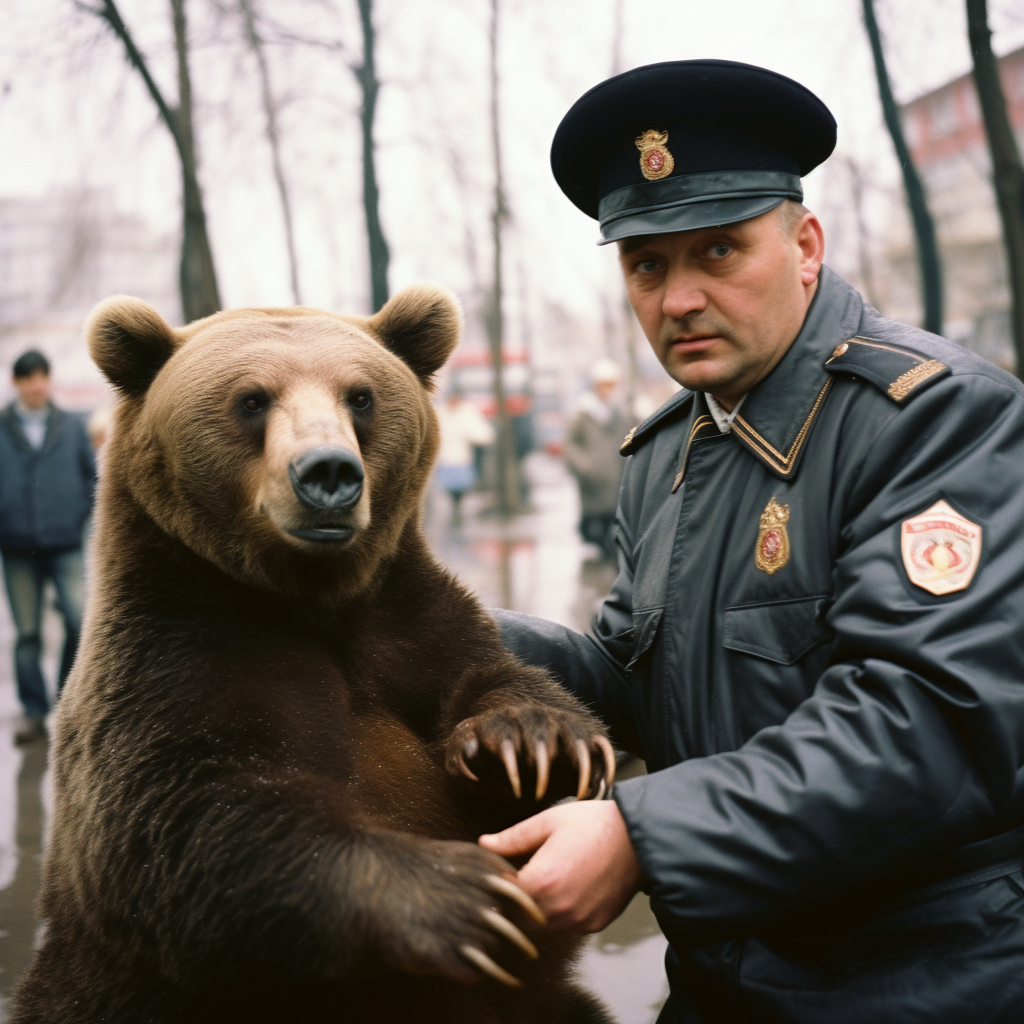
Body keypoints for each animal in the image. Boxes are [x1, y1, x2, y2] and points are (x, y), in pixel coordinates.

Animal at [9, 286, 614, 1024]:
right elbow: (193, 816)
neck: (309, 595)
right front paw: (462, 896)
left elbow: (489, 685)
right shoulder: (173, 660)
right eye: (251, 399)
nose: (329, 472)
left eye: (360, 396)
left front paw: (534, 745)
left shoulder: (406, 625)